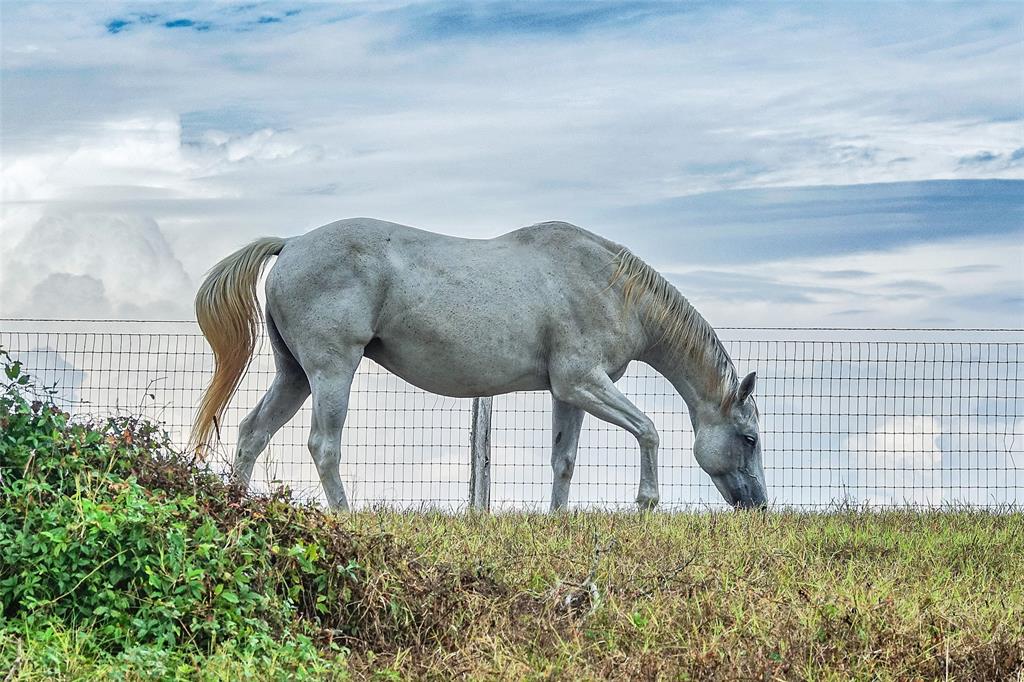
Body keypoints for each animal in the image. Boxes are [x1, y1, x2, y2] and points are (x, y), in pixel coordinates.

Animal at [192, 218, 770, 509]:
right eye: (749, 438)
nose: (759, 504)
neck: (608, 284)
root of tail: (291, 244)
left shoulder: (569, 393)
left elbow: (564, 461)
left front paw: (558, 522)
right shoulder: (584, 382)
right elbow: (648, 430)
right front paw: (646, 502)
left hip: (295, 377)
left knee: (252, 432)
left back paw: (236, 504)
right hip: (332, 372)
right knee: (323, 445)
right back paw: (345, 514)